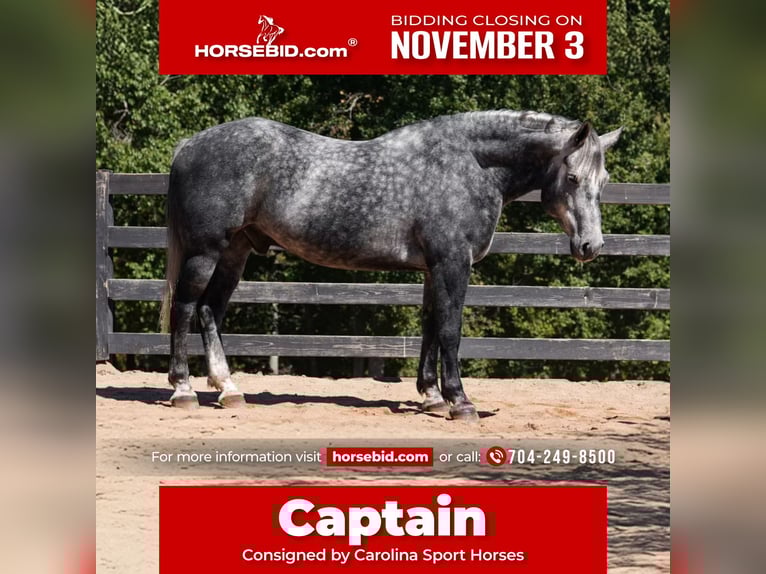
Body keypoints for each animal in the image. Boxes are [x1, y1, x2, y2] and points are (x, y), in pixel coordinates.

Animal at [160, 110, 622, 421]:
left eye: (603, 182)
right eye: (573, 178)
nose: (590, 245)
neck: (470, 164)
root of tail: (189, 145)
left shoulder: (435, 268)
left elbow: (431, 326)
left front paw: (432, 396)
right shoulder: (453, 262)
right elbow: (450, 329)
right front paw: (459, 401)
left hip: (235, 253)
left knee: (210, 310)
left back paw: (228, 389)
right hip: (206, 252)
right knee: (185, 308)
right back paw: (183, 389)